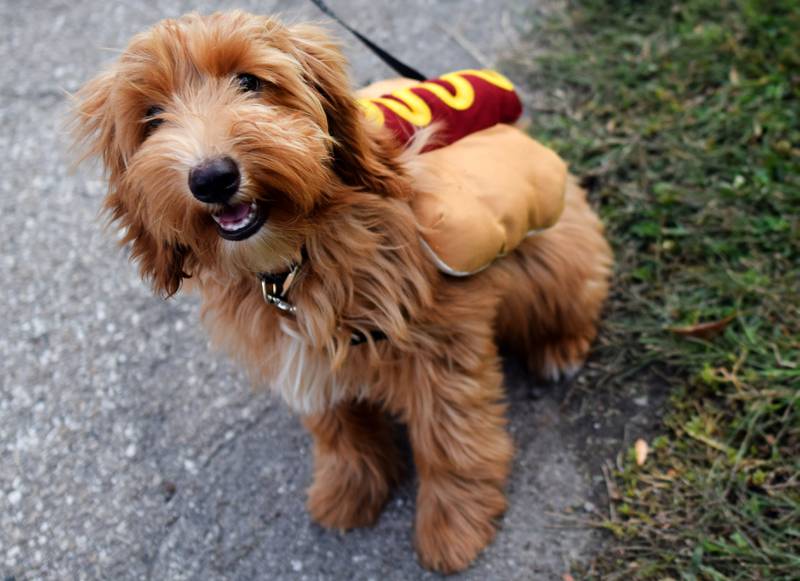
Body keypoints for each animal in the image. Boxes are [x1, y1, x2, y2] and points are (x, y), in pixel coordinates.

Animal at [75, 11, 612, 572]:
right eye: (153, 116)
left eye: (249, 81)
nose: (212, 178)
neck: (294, 260)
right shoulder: (302, 352)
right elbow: (337, 429)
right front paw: (350, 490)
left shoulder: (441, 346)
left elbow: (449, 438)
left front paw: (454, 526)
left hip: (550, 261)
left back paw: (561, 348)